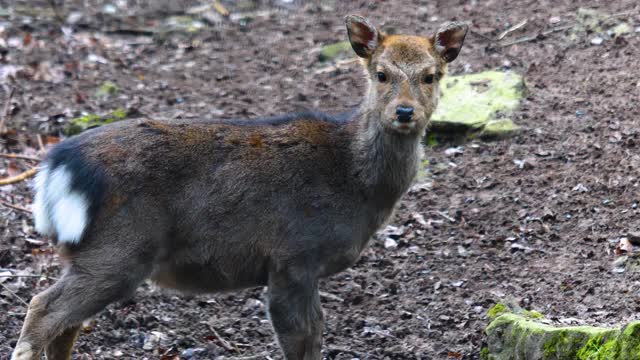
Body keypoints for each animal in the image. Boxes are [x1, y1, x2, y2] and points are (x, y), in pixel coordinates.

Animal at [12, 14, 468, 360]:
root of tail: (56, 166)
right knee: (43, 308)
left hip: (88, 253)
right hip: (118, 250)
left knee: (65, 324)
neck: (356, 184)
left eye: (431, 75)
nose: (404, 112)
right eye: (381, 73)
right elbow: (302, 338)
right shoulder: (293, 256)